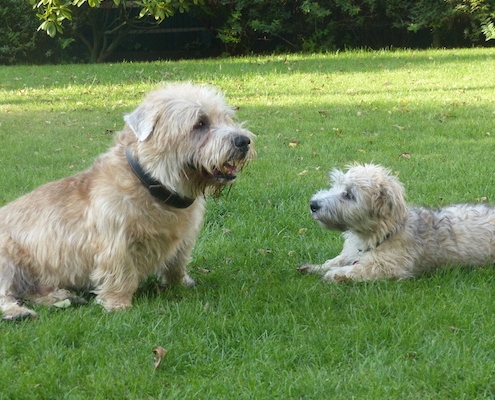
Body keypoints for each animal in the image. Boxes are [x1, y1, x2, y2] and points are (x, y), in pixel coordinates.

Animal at [0, 83, 256, 320]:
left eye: (226, 117)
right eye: (200, 123)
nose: (243, 141)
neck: (150, 183)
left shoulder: (184, 239)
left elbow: (177, 262)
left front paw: (181, 282)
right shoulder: (116, 242)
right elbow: (120, 272)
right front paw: (118, 304)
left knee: (32, 291)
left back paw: (61, 296)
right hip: (7, 259)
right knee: (7, 294)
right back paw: (17, 312)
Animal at [298, 164, 495, 282]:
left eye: (349, 195)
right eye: (336, 185)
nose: (313, 204)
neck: (384, 233)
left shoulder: (388, 267)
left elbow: (359, 269)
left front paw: (336, 274)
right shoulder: (351, 253)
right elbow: (336, 260)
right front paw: (316, 267)